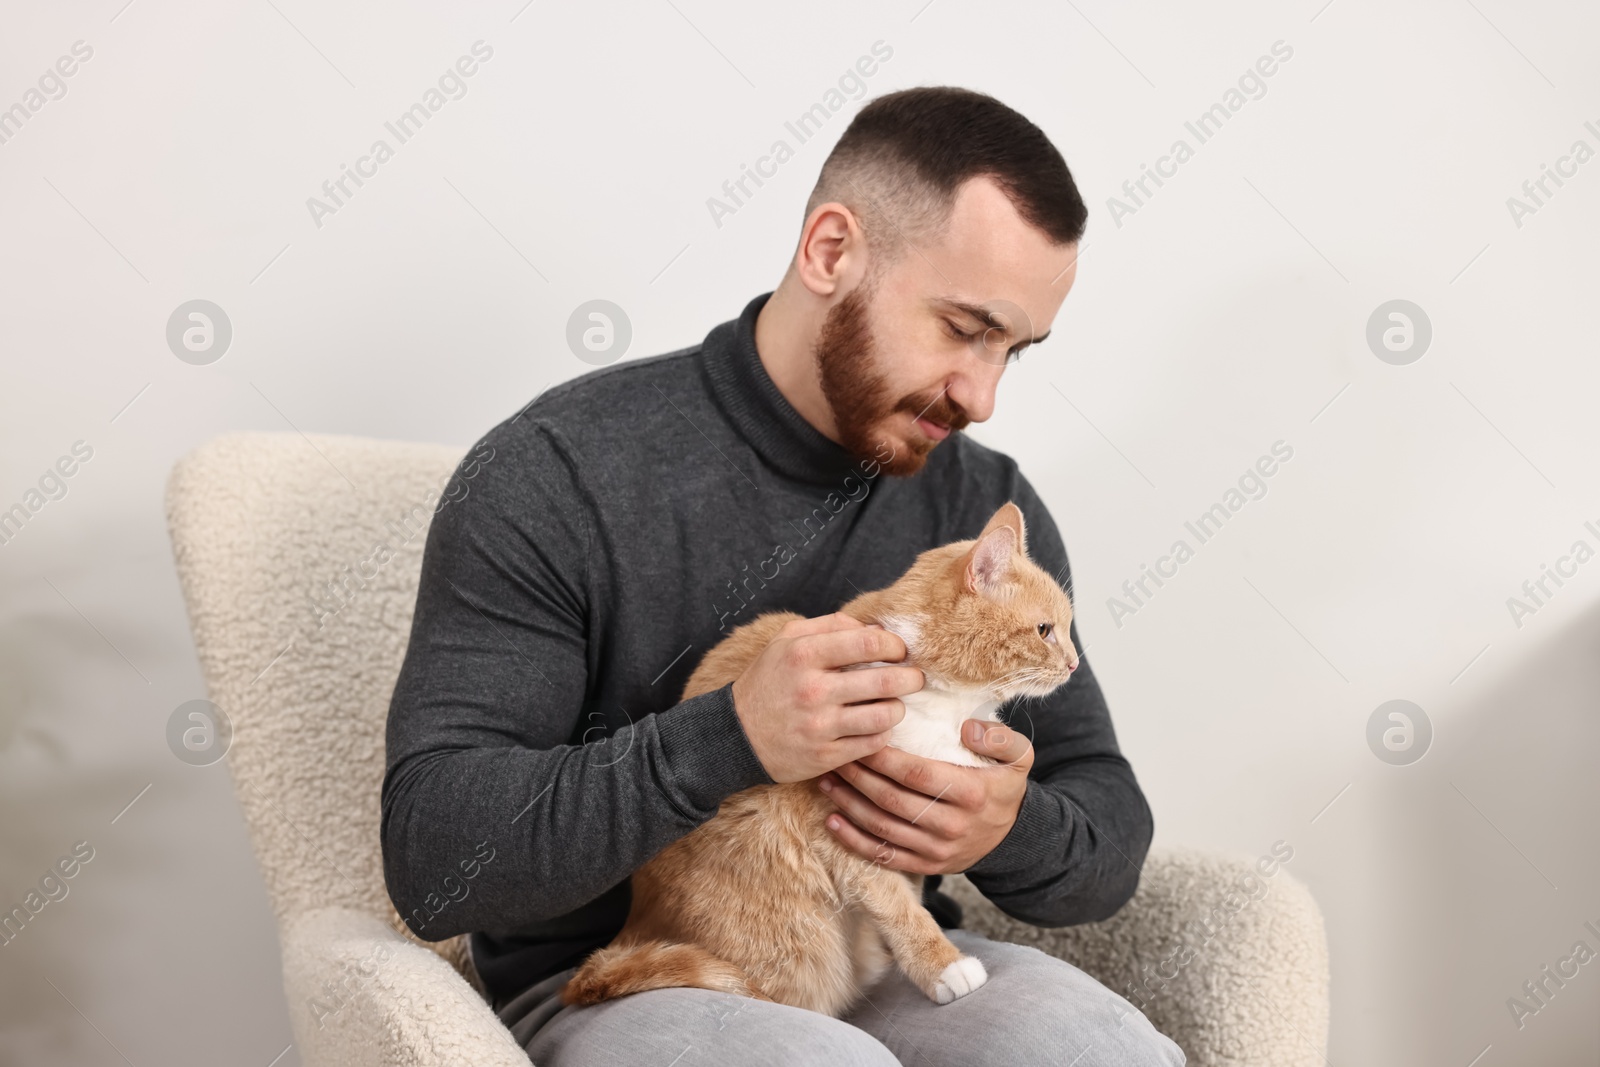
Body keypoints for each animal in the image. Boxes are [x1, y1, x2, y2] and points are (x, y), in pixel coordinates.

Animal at [556, 502, 1081, 1017]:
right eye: (1044, 630)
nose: (1076, 664)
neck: (946, 706)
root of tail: (627, 935)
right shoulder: (840, 833)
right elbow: (900, 908)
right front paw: (943, 967)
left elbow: (908, 892)